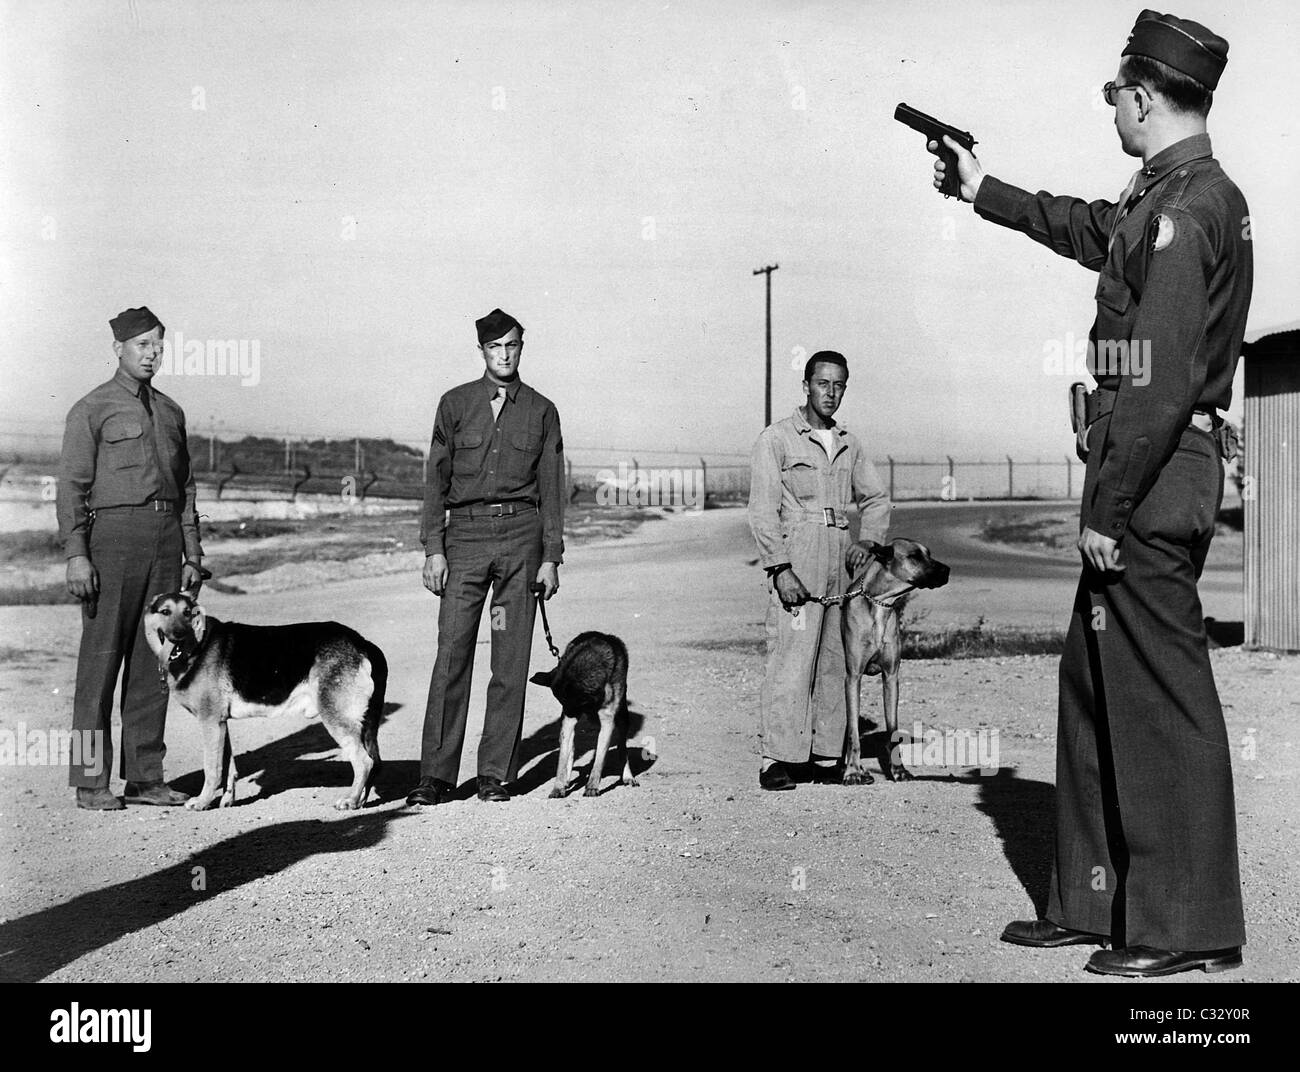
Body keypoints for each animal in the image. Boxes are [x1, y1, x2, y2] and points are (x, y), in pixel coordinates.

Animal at [143, 589, 384, 805]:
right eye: (165, 612)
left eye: (187, 613)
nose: (178, 635)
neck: (199, 645)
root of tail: (361, 642)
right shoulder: (220, 724)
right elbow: (228, 767)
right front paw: (226, 801)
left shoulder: (210, 723)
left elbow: (212, 769)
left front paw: (203, 802)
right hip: (362, 723)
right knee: (374, 761)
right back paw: (360, 800)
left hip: (336, 717)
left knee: (364, 761)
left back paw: (350, 800)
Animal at [525, 631, 631, 800]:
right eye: (561, 701)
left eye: (575, 702)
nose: (566, 714)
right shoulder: (568, 719)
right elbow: (562, 759)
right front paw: (558, 787)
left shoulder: (606, 722)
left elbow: (599, 759)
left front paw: (592, 786)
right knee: (569, 748)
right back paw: (566, 779)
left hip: (622, 717)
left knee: (622, 747)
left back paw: (628, 776)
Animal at [842, 540, 946, 779]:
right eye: (914, 556)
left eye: (929, 553)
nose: (947, 570)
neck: (880, 603)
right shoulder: (853, 677)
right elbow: (853, 731)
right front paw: (853, 771)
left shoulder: (891, 677)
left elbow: (892, 730)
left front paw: (898, 769)